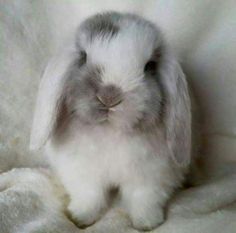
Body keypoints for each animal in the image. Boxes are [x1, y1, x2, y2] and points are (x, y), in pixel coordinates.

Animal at [30, 11, 192, 230]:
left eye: (150, 66)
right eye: (83, 57)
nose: (109, 96)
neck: (110, 132)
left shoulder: (150, 177)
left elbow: (144, 200)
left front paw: (147, 224)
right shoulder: (83, 173)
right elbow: (89, 196)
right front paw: (79, 218)